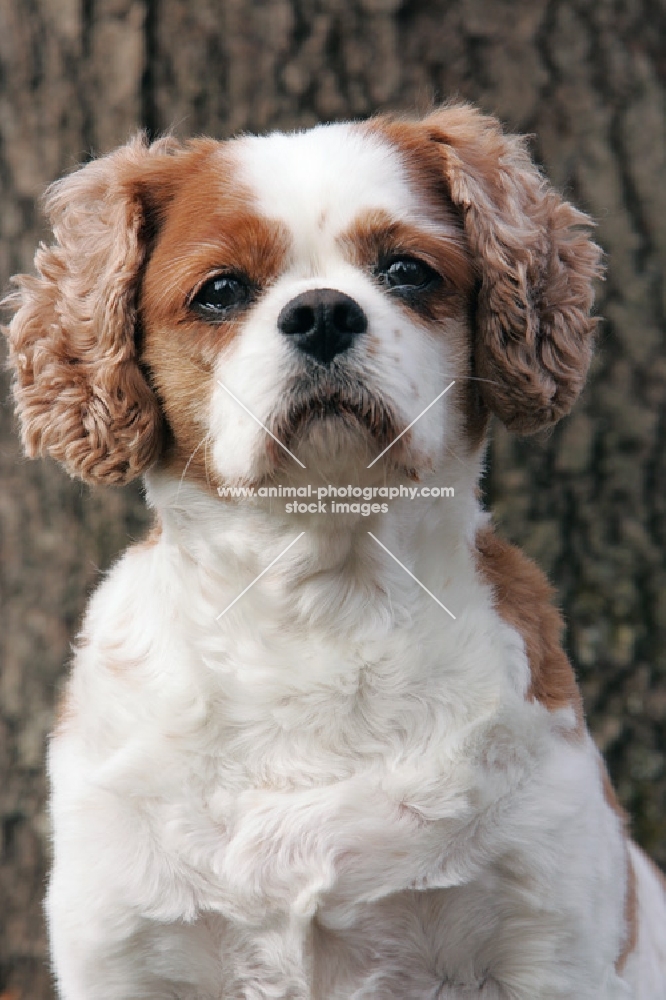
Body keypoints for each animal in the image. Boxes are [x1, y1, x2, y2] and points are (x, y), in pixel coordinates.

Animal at [5, 103, 664, 1000]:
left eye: (408, 272)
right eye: (220, 291)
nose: (322, 312)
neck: (320, 597)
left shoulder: (550, 939)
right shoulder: (120, 946)